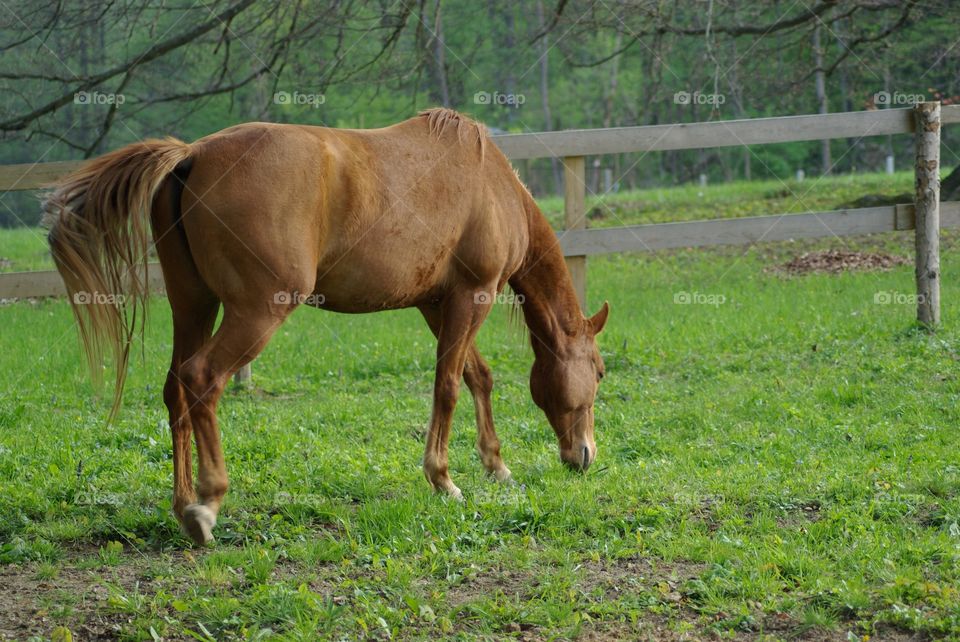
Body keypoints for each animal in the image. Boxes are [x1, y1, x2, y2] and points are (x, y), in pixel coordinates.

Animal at [45, 107, 608, 544]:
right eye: (600, 372)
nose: (584, 456)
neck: (490, 181)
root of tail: (191, 155)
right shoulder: (474, 295)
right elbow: (447, 386)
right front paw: (444, 479)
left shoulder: (437, 304)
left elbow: (476, 377)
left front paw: (496, 465)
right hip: (255, 313)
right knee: (203, 379)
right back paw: (207, 504)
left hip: (193, 306)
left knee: (175, 389)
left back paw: (183, 503)